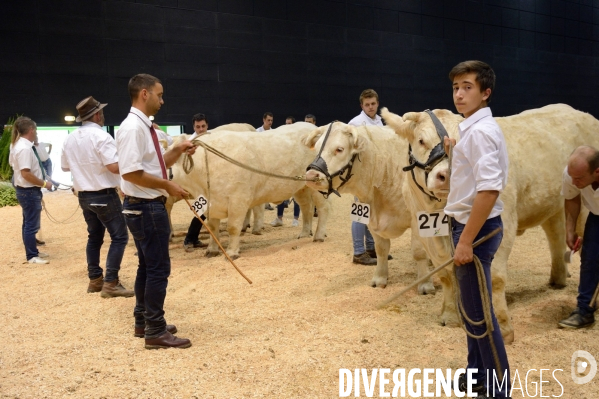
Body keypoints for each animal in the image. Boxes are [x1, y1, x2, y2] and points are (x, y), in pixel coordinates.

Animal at [171, 122, 330, 260]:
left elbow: (233, 227)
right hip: (301, 188)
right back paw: (304, 233)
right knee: (306, 208)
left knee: (323, 209)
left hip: (318, 184)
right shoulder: (211, 203)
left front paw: (232, 253)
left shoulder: (238, 199)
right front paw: (212, 250)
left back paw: (319, 236)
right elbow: (213, 228)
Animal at [304, 125, 432, 294]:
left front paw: (425, 283)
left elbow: (418, 251)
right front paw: (380, 279)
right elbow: (381, 249)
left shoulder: (418, 217)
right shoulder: (371, 218)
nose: (311, 175)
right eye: (317, 148)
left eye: (339, 149)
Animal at [380, 104, 599, 344]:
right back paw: (558, 278)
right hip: (555, 202)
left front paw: (502, 328)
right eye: (421, 140)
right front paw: (450, 315)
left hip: (585, 205)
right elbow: (446, 274)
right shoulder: (426, 231)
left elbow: (494, 277)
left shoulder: (503, 224)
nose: (446, 175)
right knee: (556, 234)